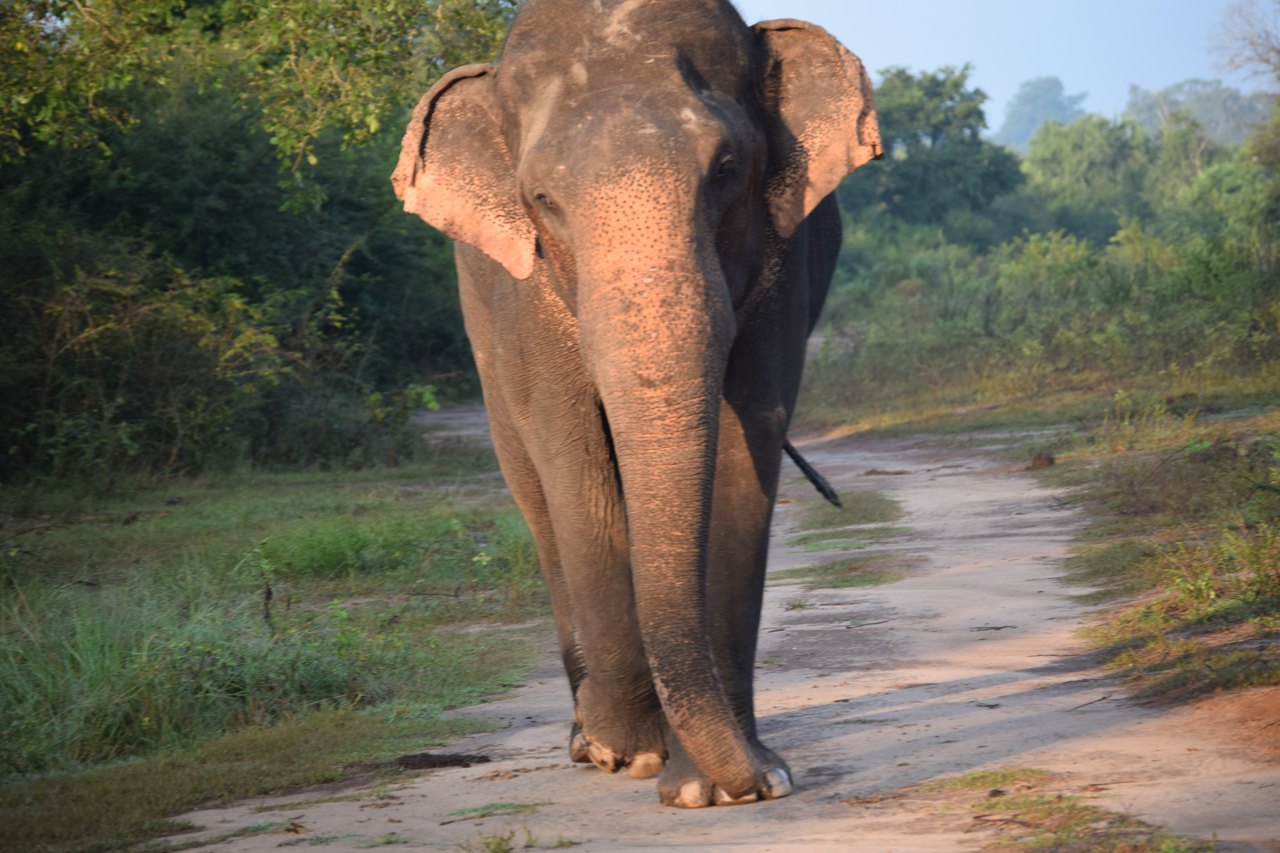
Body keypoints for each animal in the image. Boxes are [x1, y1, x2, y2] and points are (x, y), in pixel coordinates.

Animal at [389, 0, 880, 809]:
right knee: (536, 498)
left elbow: (748, 446)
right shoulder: (524, 293)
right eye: (542, 199)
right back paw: (588, 738)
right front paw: (632, 752)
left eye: (726, 169)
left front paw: (715, 786)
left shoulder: (782, 265)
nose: (766, 780)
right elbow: (572, 454)